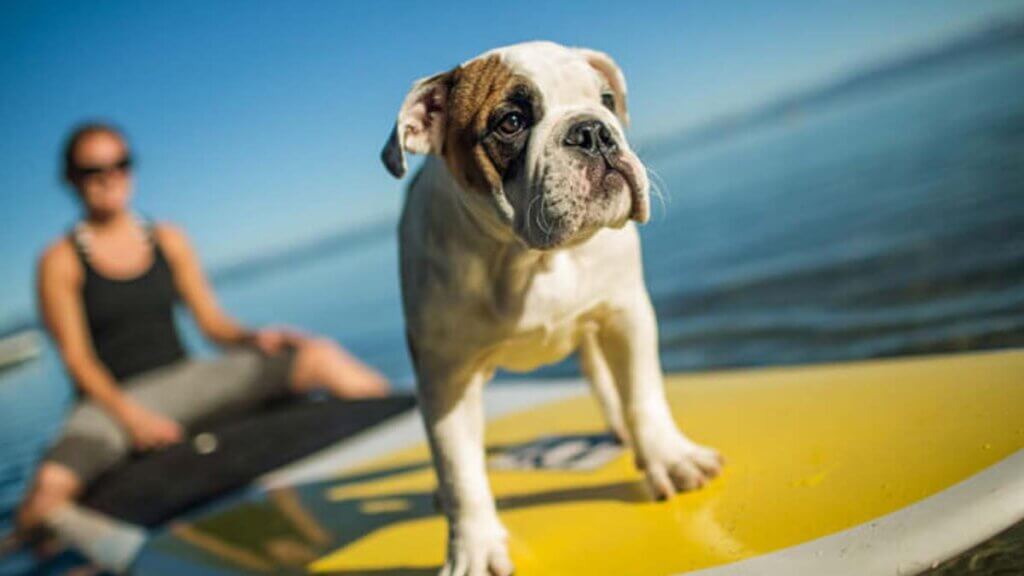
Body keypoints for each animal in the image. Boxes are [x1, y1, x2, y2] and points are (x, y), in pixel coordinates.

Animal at [380, 41, 724, 573]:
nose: (592, 131)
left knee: (606, 380)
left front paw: (670, 458)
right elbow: (459, 470)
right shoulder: (446, 380)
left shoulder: (625, 314)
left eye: (606, 99)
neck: (528, 258)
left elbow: (643, 393)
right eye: (511, 122)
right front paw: (474, 547)